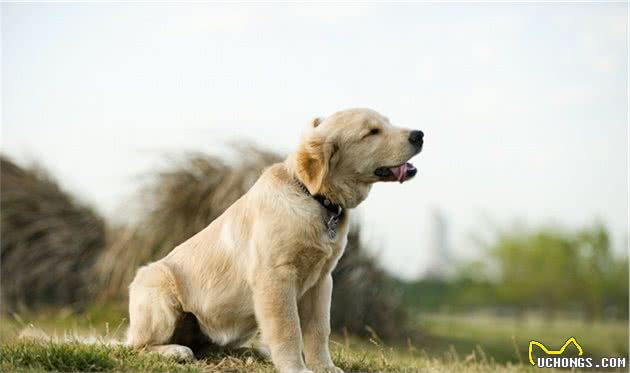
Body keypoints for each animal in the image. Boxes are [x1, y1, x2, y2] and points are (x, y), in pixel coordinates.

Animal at [126, 106, 428, 370]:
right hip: (158, 291)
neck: (313, 197)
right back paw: (175, 350)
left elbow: (319, 330)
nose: (419, 134)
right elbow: (288, 329)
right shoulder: (276, 277)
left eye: (387, 122)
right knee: (140, 346)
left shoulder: (322, 281)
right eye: (372, 132)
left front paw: (324, 367)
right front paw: (296, 368)